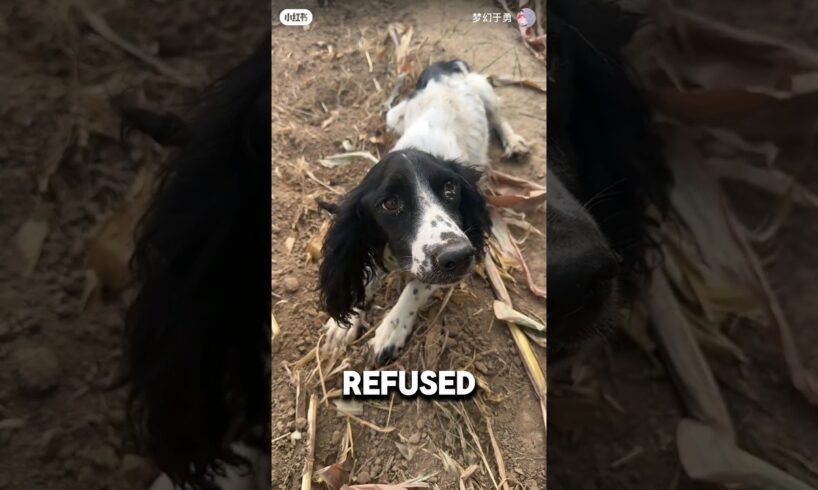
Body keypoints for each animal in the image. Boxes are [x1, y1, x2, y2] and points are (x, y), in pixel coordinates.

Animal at [318, 58, 528, 364]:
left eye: (451, 188)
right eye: (390, 203)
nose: (458, 257)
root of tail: (442, 65)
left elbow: (415, 287)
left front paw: (392, 328)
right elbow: (364, 271)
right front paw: (344, 324)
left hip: (484, 90)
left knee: (499, 116)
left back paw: (514, 142)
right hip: (394, 117)